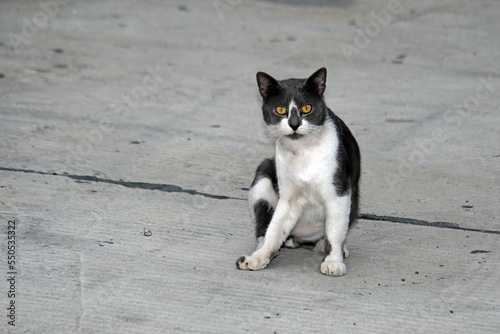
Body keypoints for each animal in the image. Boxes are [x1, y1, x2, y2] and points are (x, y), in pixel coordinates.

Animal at [237, 68, 360, 276]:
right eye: (280, 110)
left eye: (307, 108)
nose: (294, 124)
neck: (303, 150)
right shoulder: (288, 199)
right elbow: (274, 231)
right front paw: (259, 257)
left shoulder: (339, 193)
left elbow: (335, 230)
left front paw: (333, 260)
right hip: (263, 175)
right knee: (264, 227)